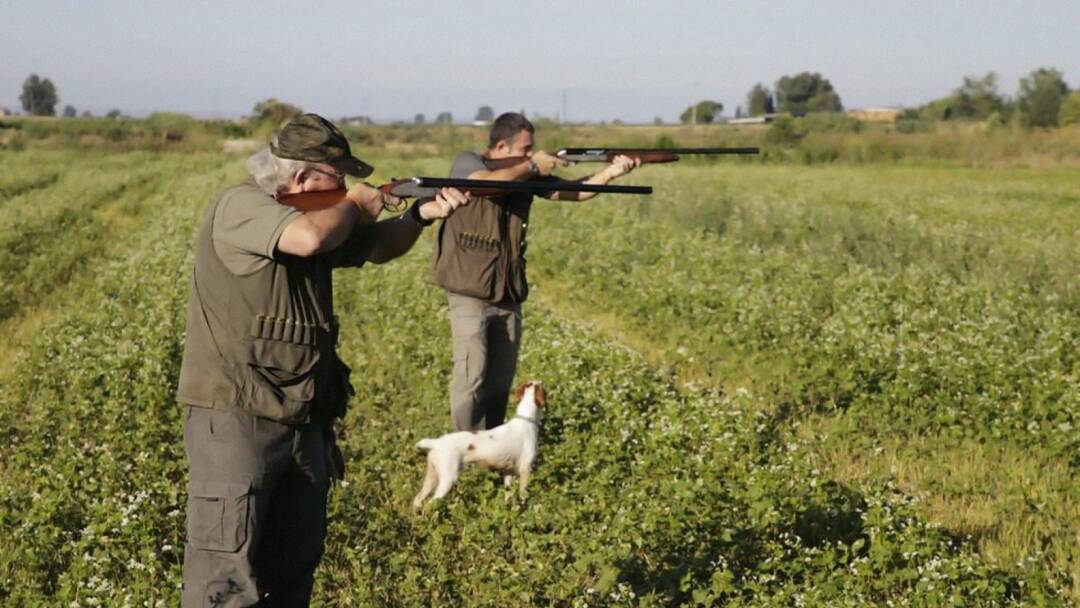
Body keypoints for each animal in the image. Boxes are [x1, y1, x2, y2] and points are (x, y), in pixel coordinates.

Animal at [412, 380, 548, 509]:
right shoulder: (526, 469)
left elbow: (508, 495)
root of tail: (436, 443)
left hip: (432, 477)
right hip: (448, 479)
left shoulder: (508, 472)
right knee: (430, 504)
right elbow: (524, 496)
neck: (526, 420)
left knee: (417, 499)